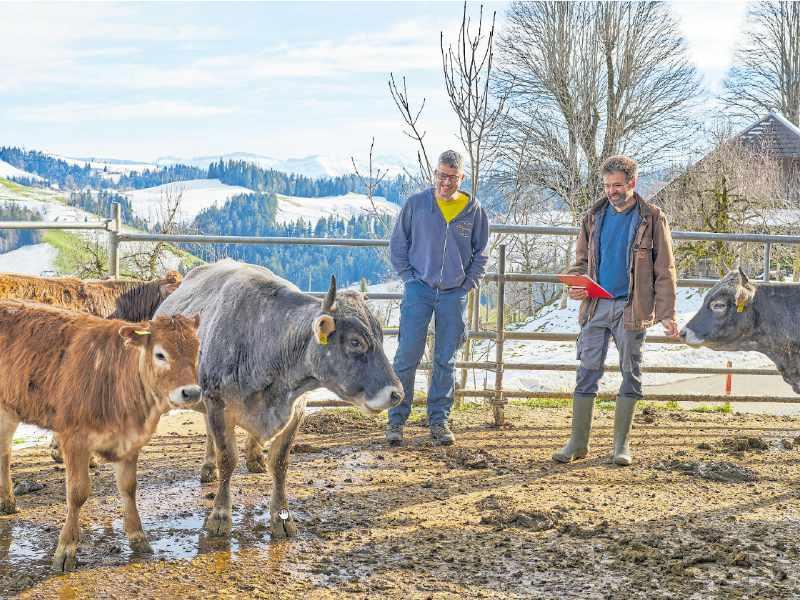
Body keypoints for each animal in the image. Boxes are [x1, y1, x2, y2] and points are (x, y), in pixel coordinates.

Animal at [0, 302, 199, 568]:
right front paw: (66, 549)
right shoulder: (74, 438)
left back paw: (7, 502)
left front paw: (138, 537)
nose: (191, 392)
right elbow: (77, 493)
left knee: (4, 450)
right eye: (160, 354)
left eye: (197, 350)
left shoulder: (131, 442)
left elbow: (128, 487)